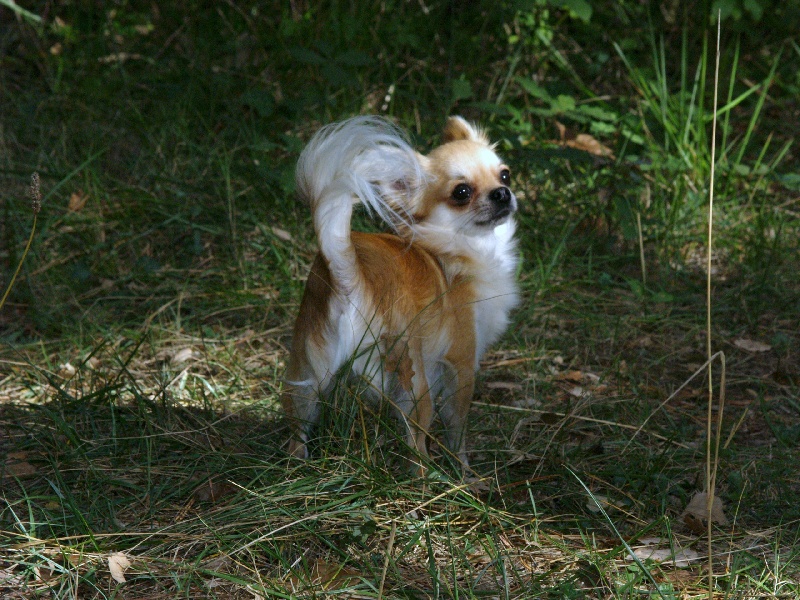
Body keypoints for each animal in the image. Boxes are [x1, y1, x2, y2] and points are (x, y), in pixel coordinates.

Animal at [282, 116, 520, 474]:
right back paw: (430, 480)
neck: (455, 246)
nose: (503, 193)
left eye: (504, 174)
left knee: (298, 429)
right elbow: (457, 427)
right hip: (412, 382)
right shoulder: (462, 363)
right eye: (462, 192)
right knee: (416, 446)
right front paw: (463, 469)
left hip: (309, 374)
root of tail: (350, 275)